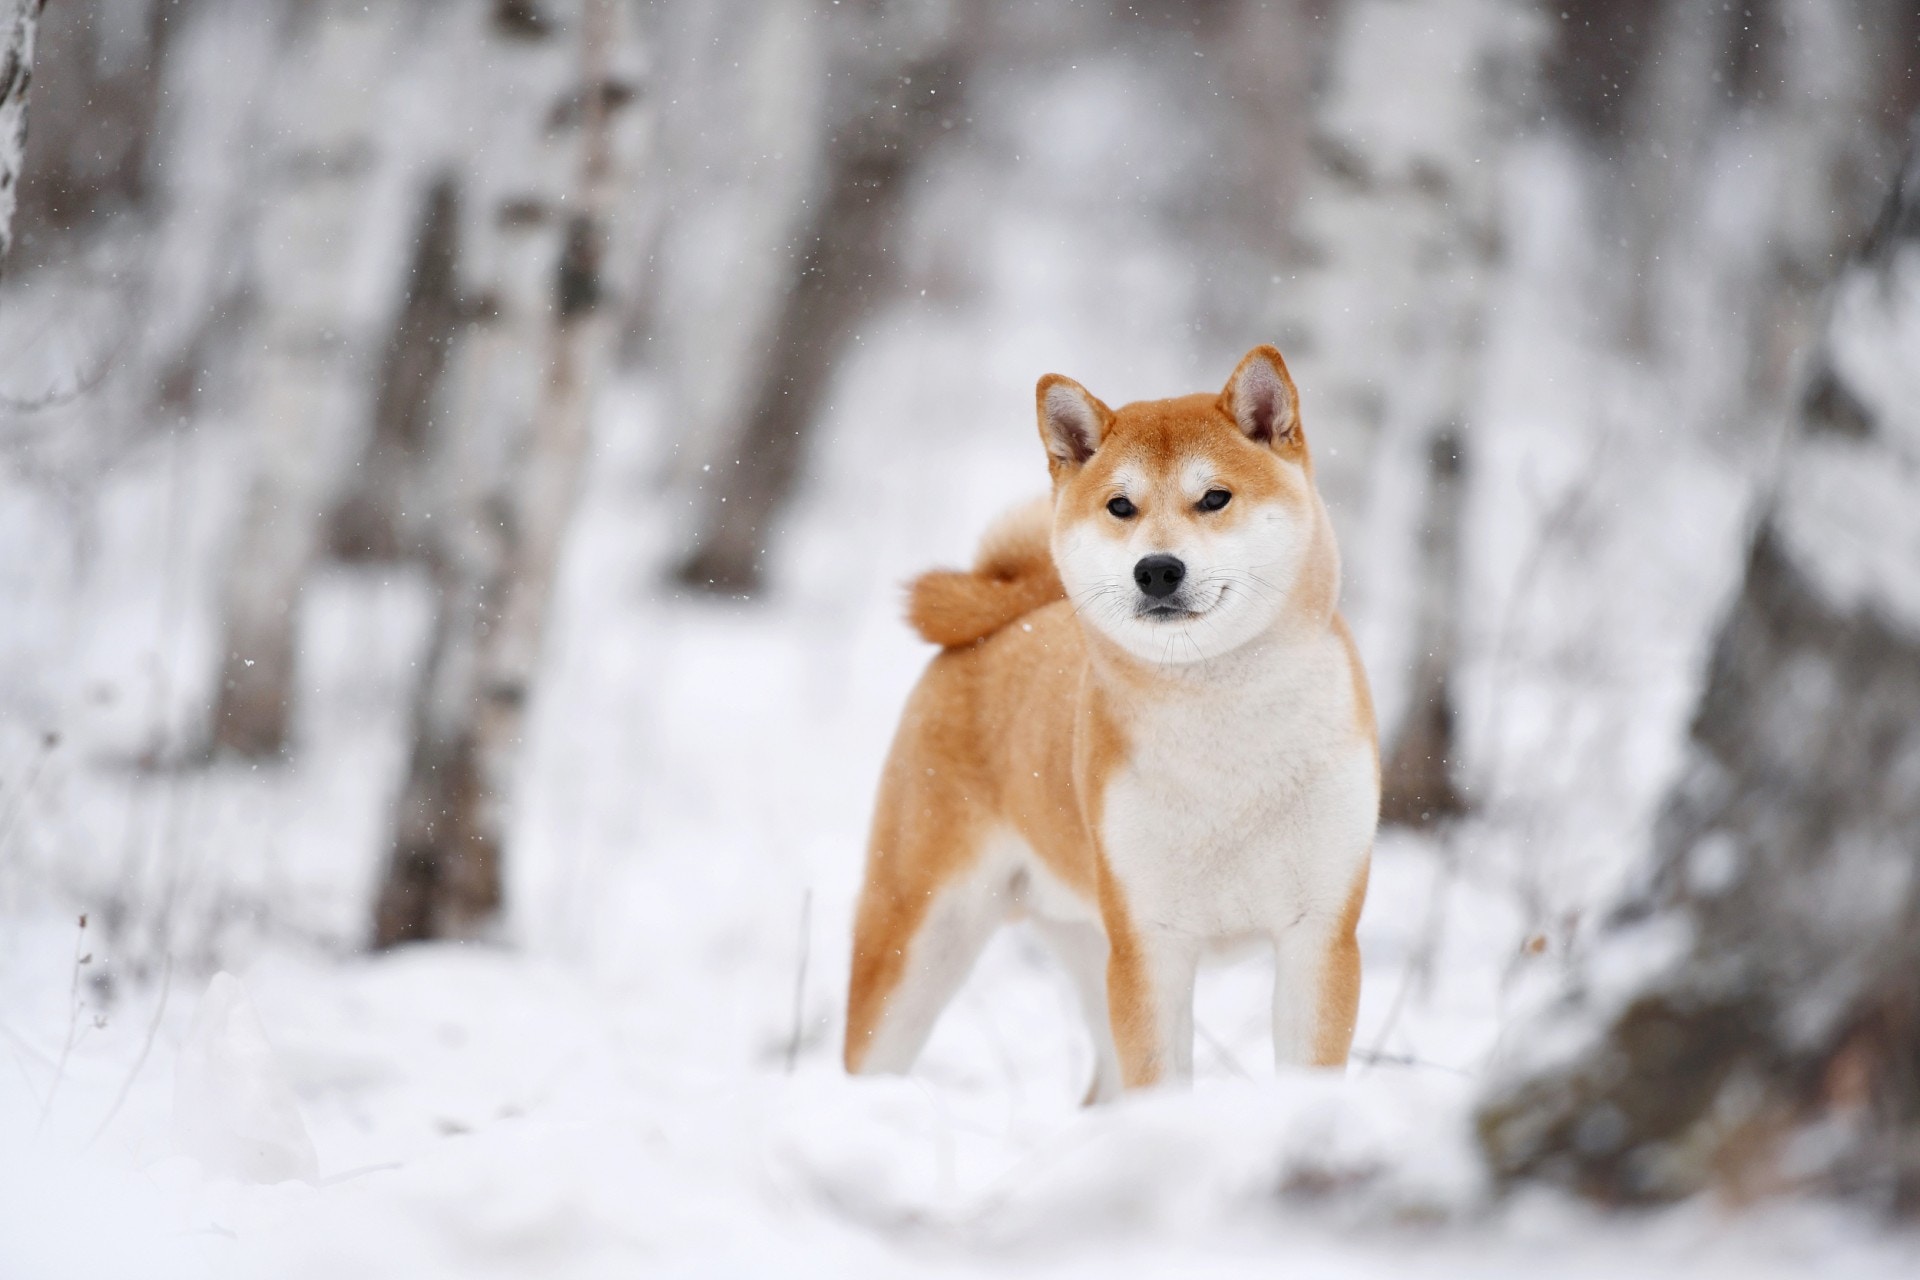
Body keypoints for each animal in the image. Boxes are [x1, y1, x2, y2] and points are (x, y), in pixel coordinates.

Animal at [848, 345, 1374, 1097]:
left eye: (1215, 497)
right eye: (1120, 506)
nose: (1156, 569)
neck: (1223, 727)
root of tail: (1008, 617)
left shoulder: (1320, 935)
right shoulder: (1149, 946)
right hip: (918, 942)